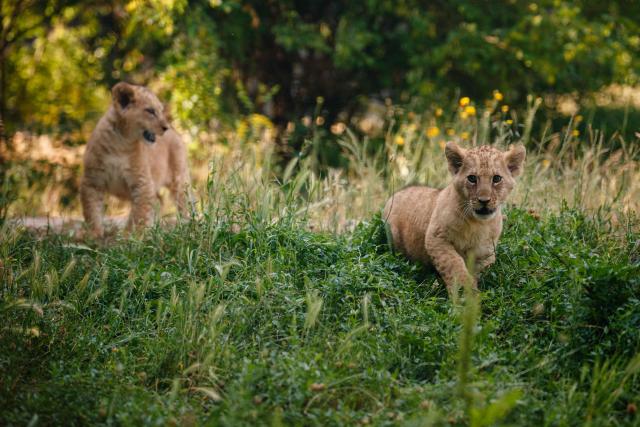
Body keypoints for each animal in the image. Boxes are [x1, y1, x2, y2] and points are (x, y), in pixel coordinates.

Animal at [81, 82, 191, 238]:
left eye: (161, 111)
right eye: (150, 111)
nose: (166, 127)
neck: (121, 143)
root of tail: (176, 133)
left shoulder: (142, 183)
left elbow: (139, 215)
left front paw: (133, 237)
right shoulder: (92, 181)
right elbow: (91, 209)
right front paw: (93, 234)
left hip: (179, 179)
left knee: (184, 201)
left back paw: (189, 224)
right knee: (157, 202)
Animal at [383, 142, 526, 291]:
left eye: (497, 179)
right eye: (472, 178)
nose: (484, 200)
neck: (477, 223)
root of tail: (396, 193)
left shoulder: (485, 252)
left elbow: (478, 270)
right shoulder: (436, 238)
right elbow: (453, 264)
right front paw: (464, 291)